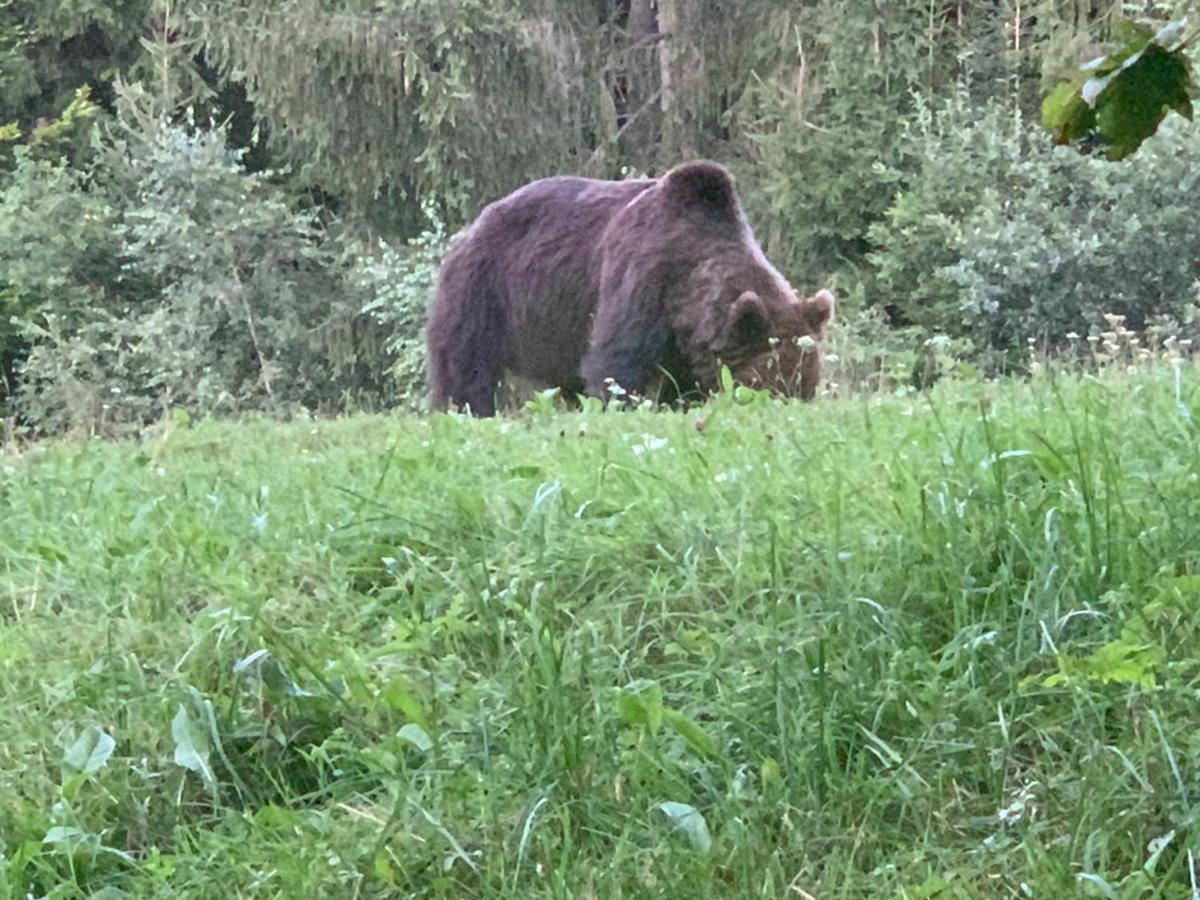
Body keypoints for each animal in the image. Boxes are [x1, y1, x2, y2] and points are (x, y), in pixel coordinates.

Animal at [424, 160, 835, 417]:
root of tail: (474, 224)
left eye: (807, 388)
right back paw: (467, 409)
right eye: (776, 387)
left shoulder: (687, 344)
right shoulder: (642, 278)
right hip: (484, 291)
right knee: (466, 367)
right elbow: (616, 365)